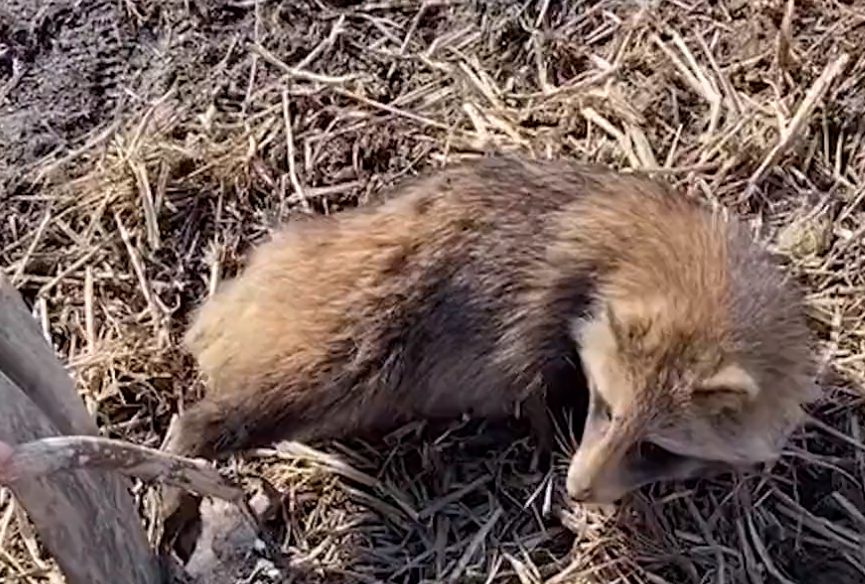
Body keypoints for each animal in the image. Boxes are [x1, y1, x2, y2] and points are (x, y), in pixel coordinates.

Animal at [165, 153, 820, 504]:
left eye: (655, 449)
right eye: (605, 409)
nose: (577, 490)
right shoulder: (547, 297)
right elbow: (524, 372)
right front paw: (544, 434)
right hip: (346, 322)